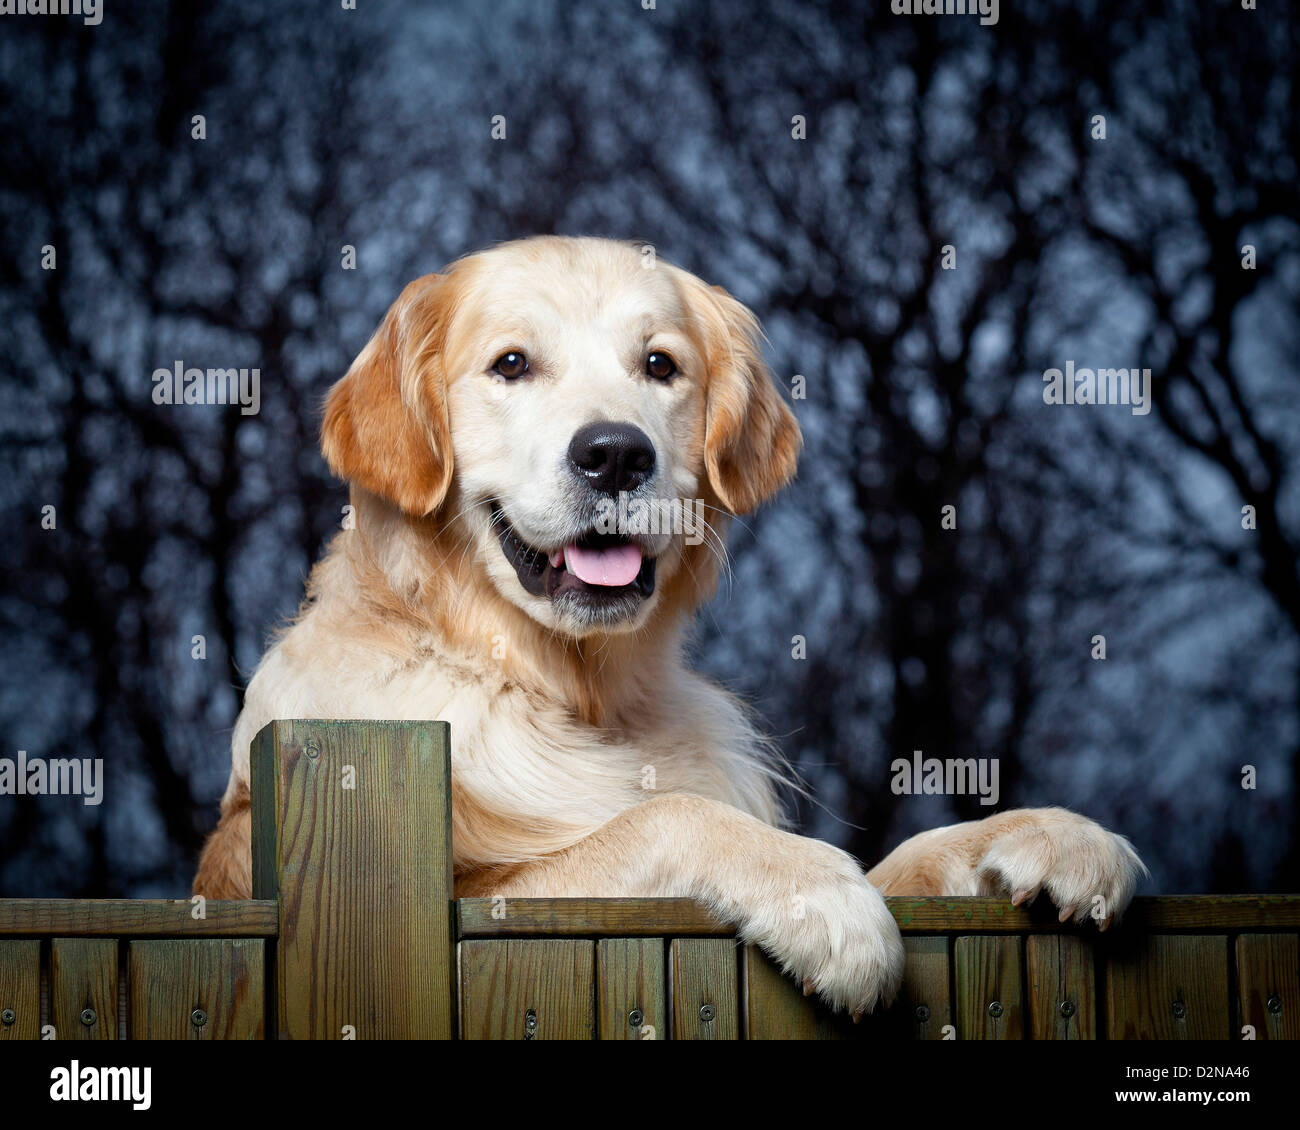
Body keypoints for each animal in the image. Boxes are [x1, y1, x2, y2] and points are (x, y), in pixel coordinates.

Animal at [195, 235, 1149, 1014]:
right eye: (511, 365)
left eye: (659, 365)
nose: (615, 453)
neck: (571, 688)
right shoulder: (480, 895)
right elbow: (663, 818)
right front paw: (821, 895)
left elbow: (913, 853)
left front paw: (1051, 832)